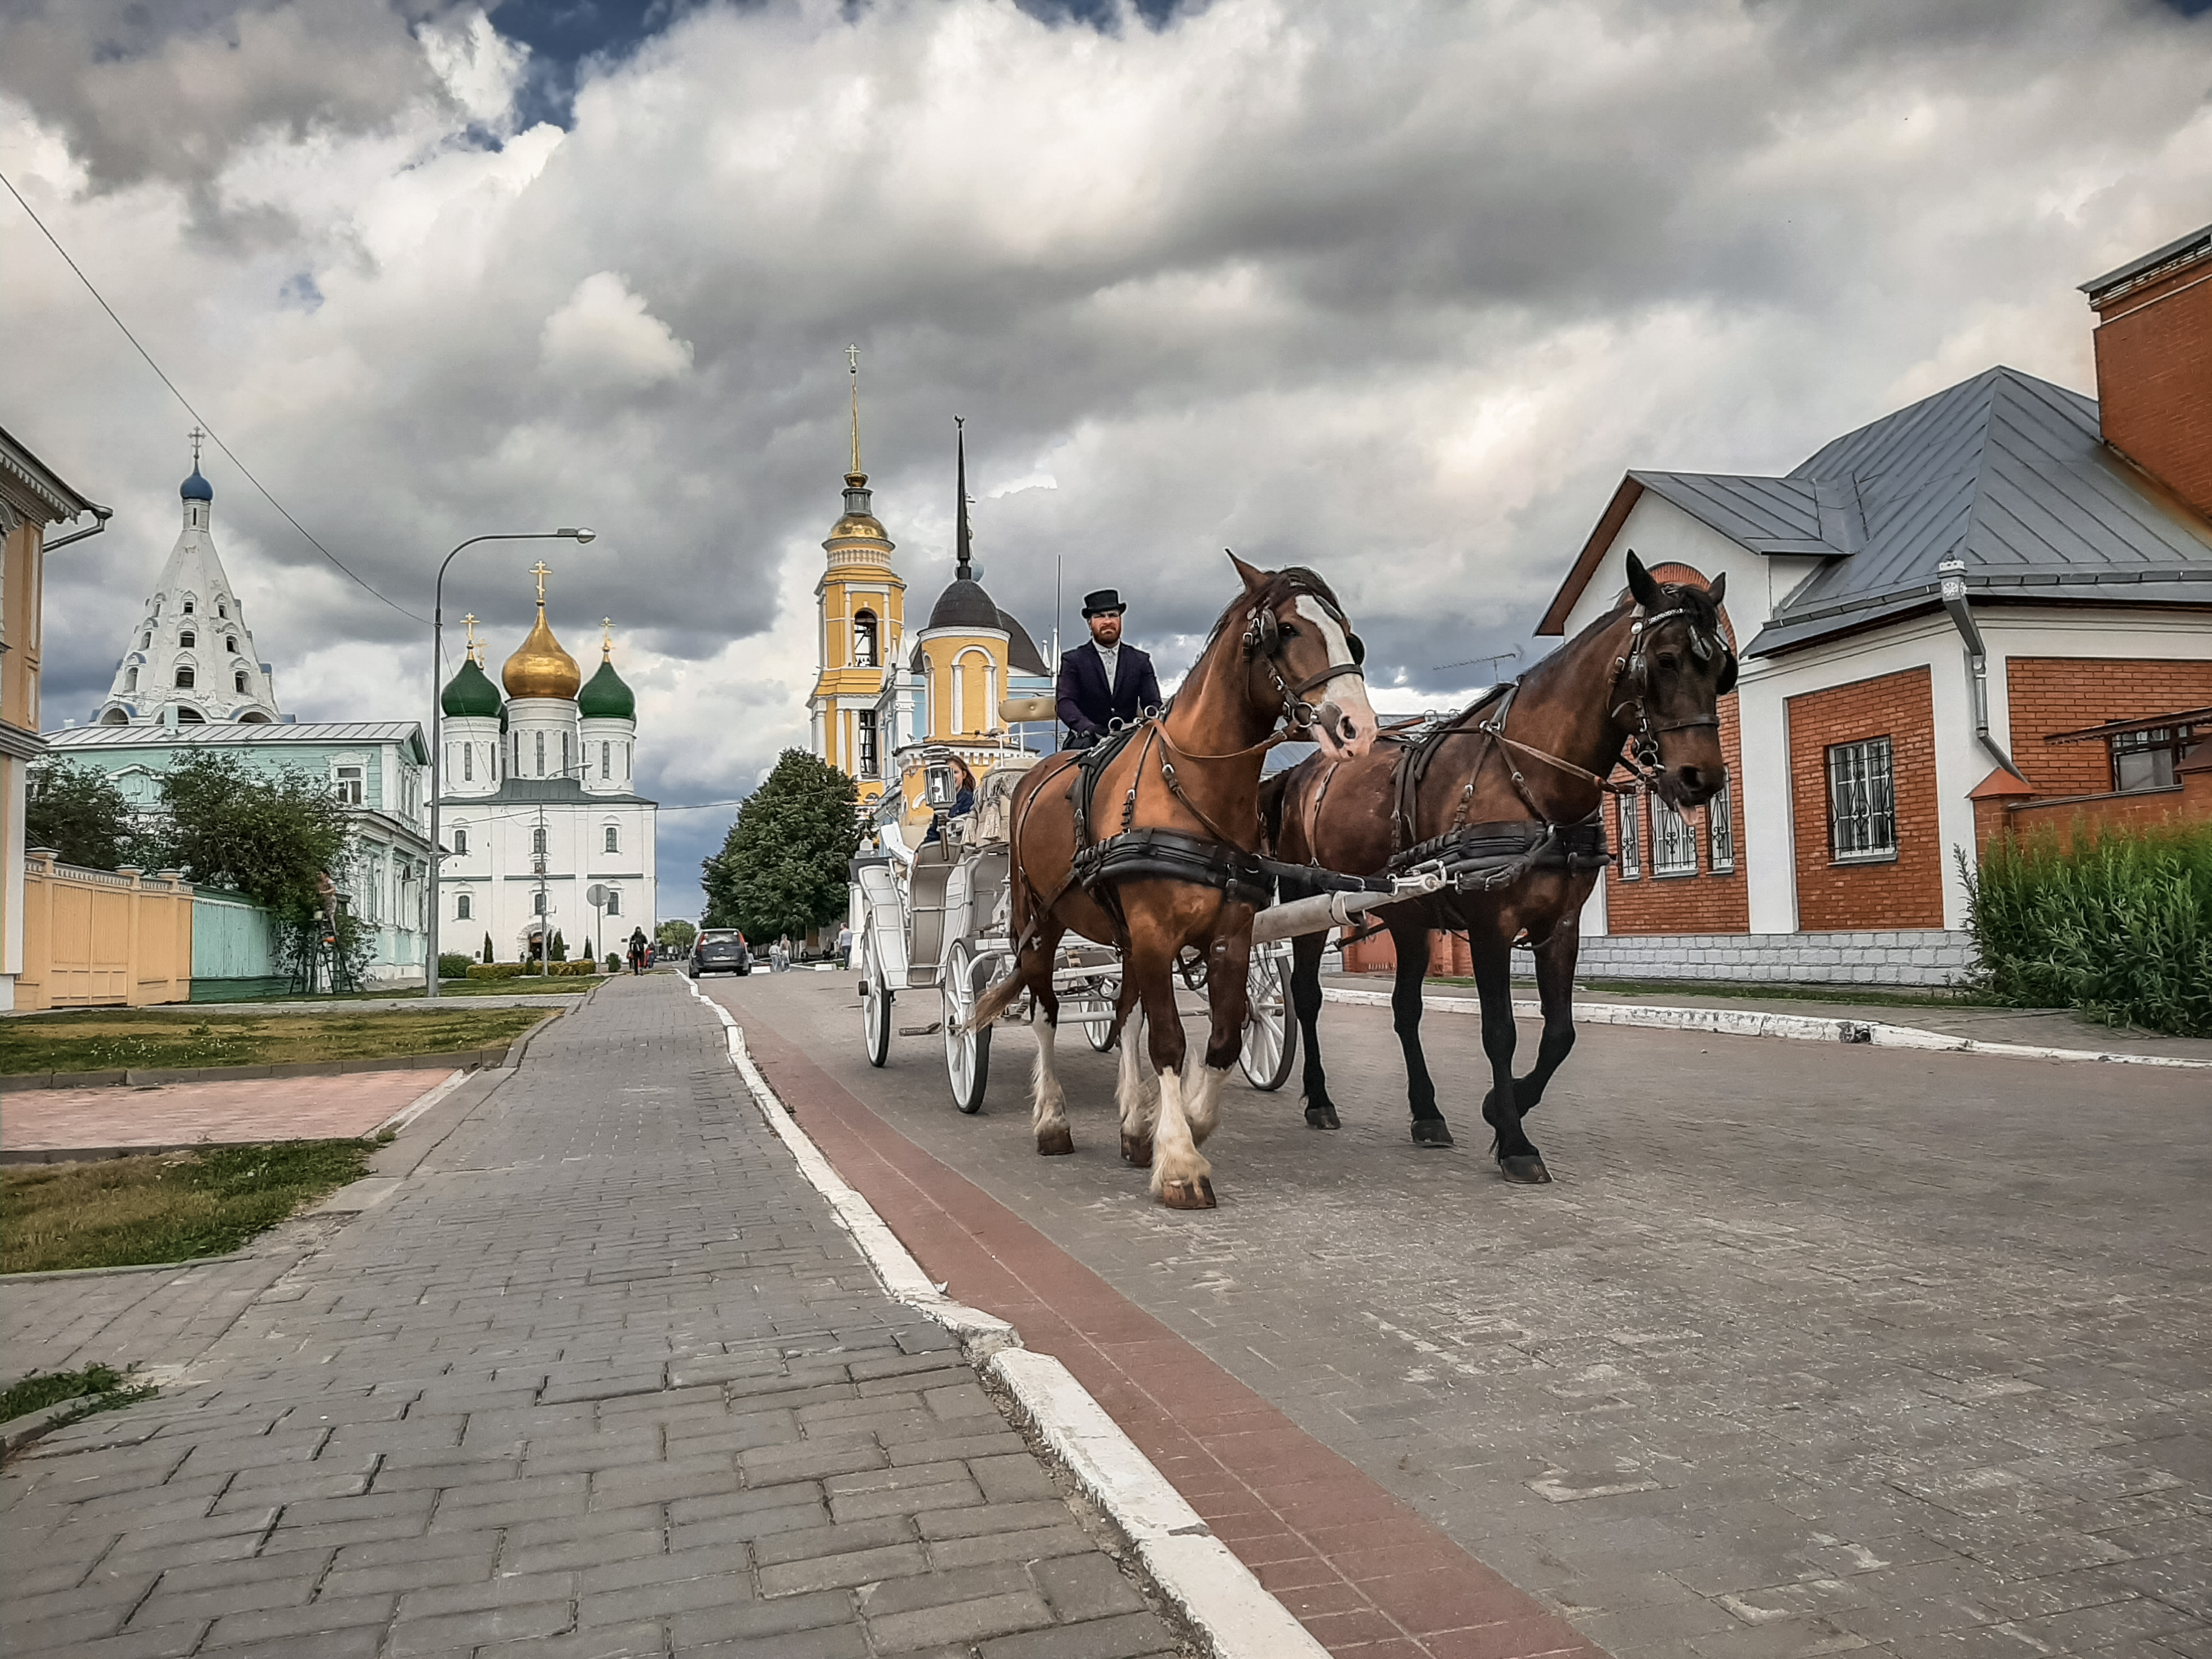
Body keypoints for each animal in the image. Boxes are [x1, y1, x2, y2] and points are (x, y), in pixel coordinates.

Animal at [973, 555, 1371, 1212]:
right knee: (1046, 1014)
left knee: (1125, 1010)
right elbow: (1168, 1042)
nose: (1359, 729)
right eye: (1286, 630)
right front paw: (1181, 1163)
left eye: (1349, 634)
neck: (1191, 789)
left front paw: (1180, 1123)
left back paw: (1136, 1126)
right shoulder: (1157, 932)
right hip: (1039, 927)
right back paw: (1053, 1122)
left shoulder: (1229, 935)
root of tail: (1030, 778)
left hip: (1125, 937)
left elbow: (1223, 1039)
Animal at [1265, 555, 1725, 1186]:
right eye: (1666, 660)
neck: (1530, 783)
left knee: (1405, 1010)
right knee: (1307, 998)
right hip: (1307, 906)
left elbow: (1560, 1034)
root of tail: (1300, 772)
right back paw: (1318, 1098)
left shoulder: (1561, 926)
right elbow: (1500, 1031)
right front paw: (1514, 1141)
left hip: (1408, 918)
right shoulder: (1491, 927)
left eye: (1723, 668)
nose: (1703, 779)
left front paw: (1498, 1108)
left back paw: (1427, 1113)